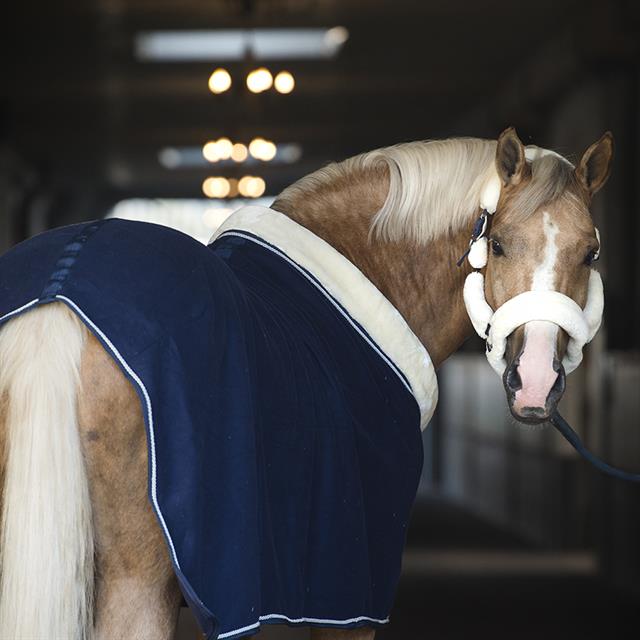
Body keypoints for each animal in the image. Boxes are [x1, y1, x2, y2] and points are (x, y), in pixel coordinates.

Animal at [0, 127, 612, 636]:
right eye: (499, 243)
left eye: (591, 252)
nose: (535, 383)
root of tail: (60, 292)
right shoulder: (350, 592)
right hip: (137, 588)